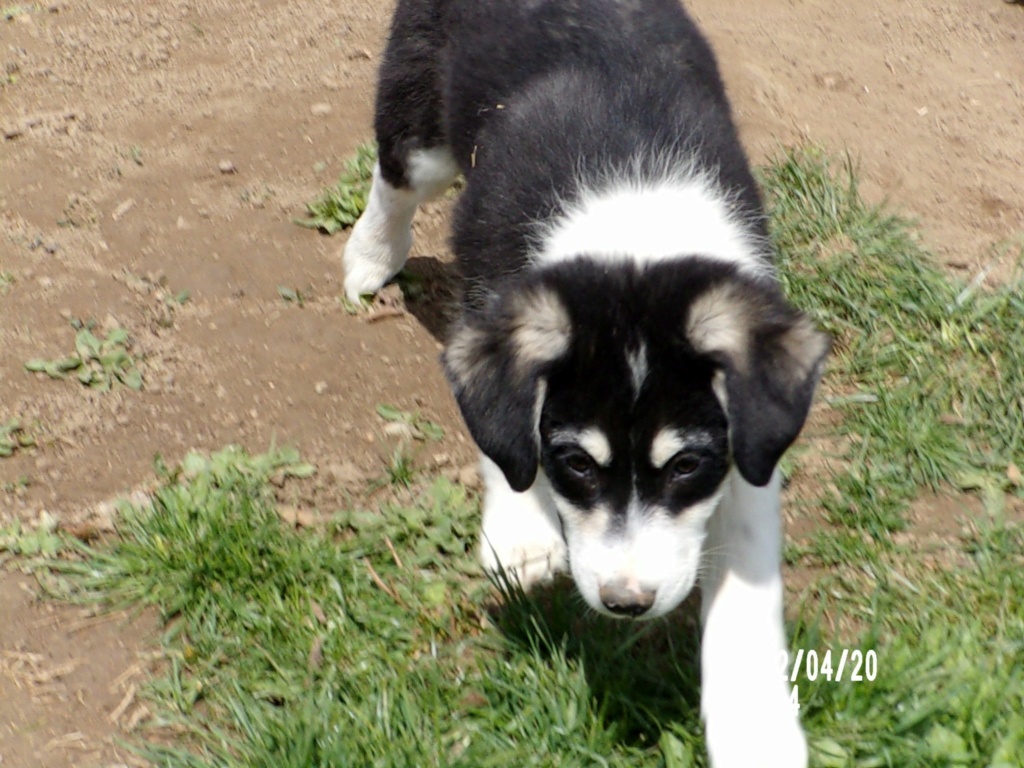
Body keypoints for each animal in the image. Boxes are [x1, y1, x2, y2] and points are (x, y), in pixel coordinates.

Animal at [339, 1, 827, 765]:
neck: (635, 238)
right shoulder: (489, 295)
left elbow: (746, 587)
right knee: (395, 175)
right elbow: (504, 436)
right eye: (575, 463)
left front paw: (758, 734)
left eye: (685, 466)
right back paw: (368, 259)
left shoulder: (748, 440)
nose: (628, 603)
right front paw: (520, 532)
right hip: (419, 112)